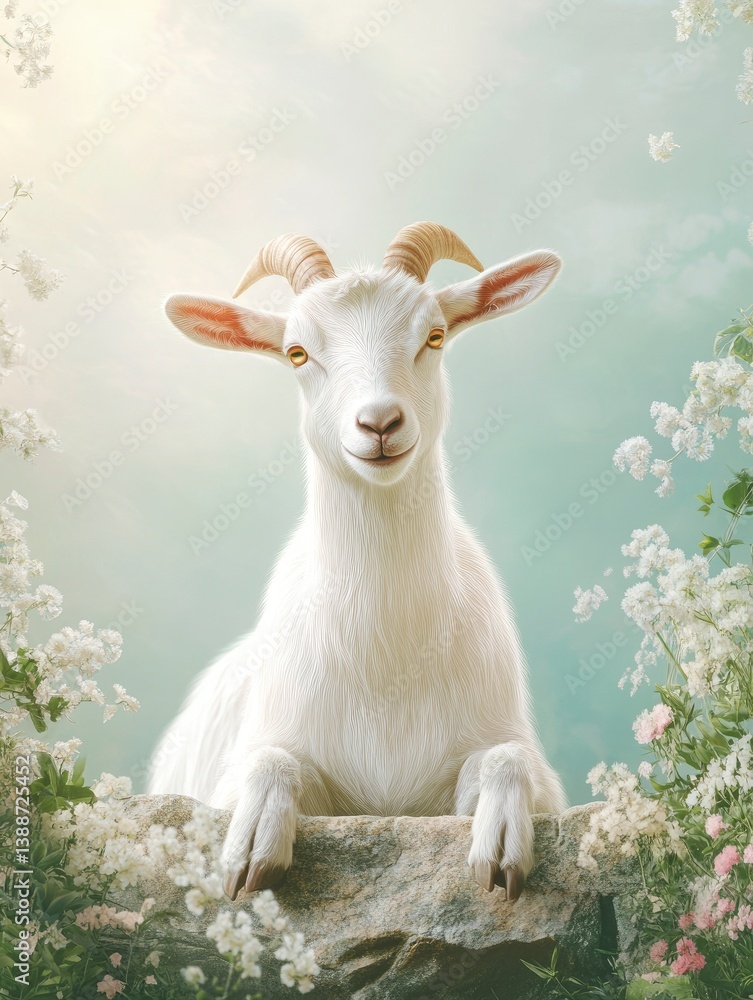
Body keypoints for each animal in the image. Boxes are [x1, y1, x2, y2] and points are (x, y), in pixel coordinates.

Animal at [150, 222, 567, 902]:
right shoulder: (260, 768)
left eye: (434, 335)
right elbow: (271, 761)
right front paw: (252, 847)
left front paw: (501, 847)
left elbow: (508, 758)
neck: (385, 655)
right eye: (297, 352)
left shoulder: (521, 767)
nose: (379, 422)